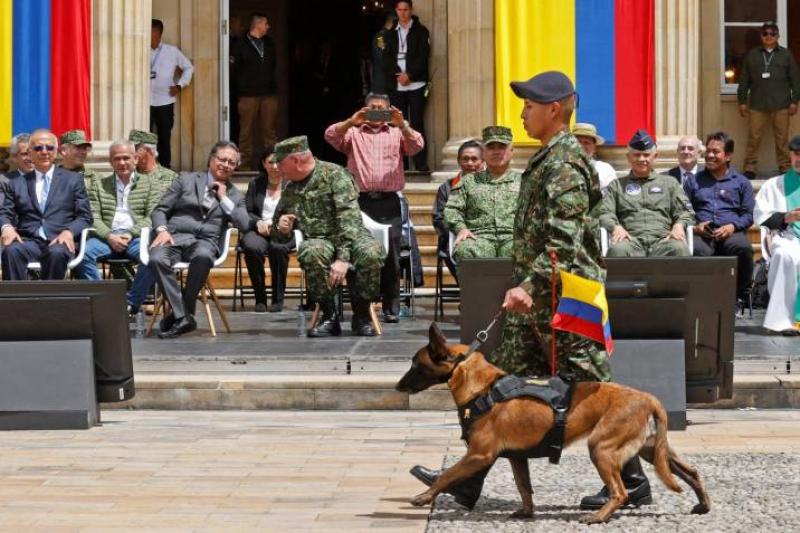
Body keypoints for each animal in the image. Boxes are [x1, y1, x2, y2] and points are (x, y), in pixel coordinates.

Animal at [396, 322, 708, 520]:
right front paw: (527, 512)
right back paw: (703, 505)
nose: (398, 386)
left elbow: (448, 474)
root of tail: (648, 398)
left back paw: (599, 517)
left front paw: (425, 496)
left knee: (620, 492)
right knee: (691, 472)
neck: (482, 388)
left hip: (601, 448)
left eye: (415, 364)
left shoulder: (479, 454)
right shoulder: (515, 458)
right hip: (652, 450)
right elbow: (524, 487)